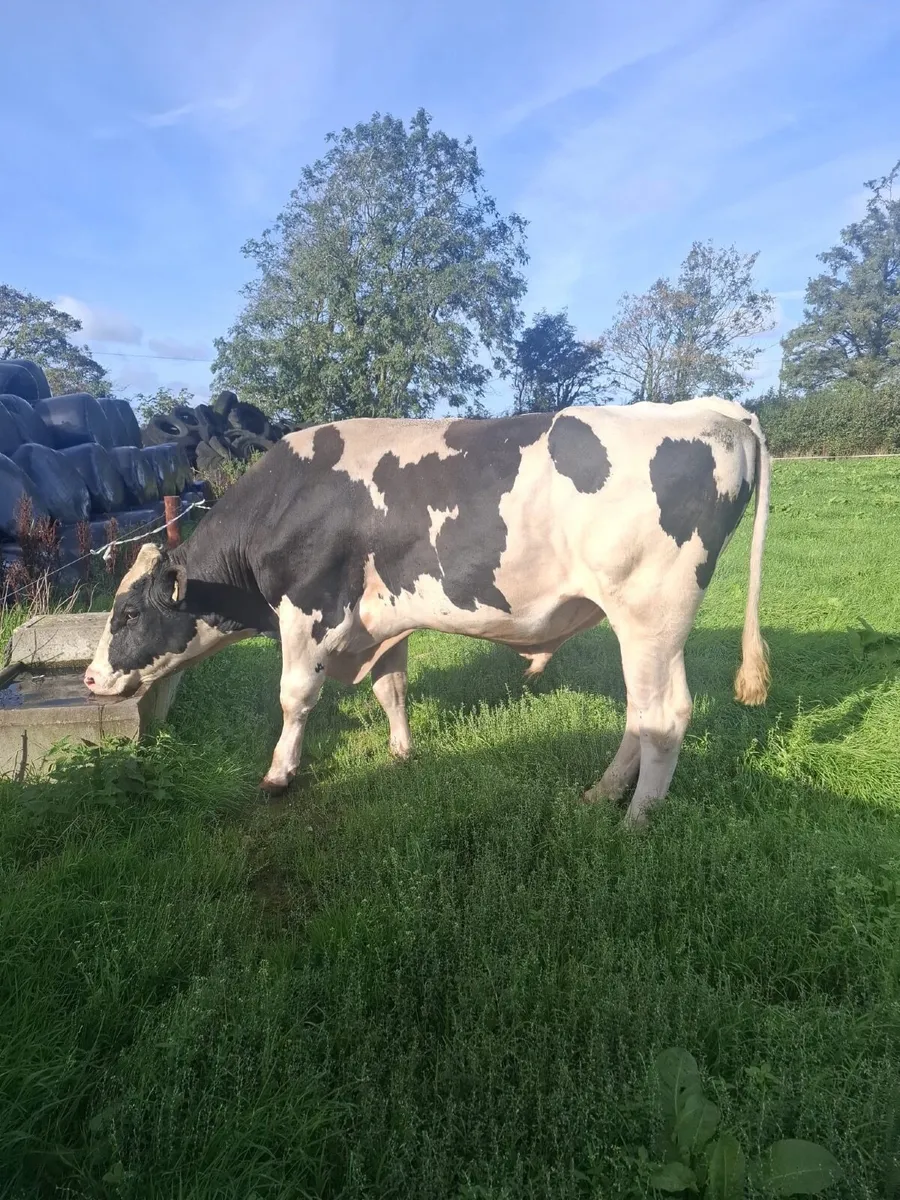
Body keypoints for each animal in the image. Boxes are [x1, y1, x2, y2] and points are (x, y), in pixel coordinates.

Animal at [85, 396, 771, 827]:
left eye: (127, 614)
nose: (91, 678)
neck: (287, 500)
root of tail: (714, 409)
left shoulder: (309, 610)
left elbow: (294, 697)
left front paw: (279, 775)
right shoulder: (383, 619)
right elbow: (391, 687)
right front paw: (401, 753)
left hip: (651, 615)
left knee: (664, 716)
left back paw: (635, 822)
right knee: (640, 714)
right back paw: (599, 795)